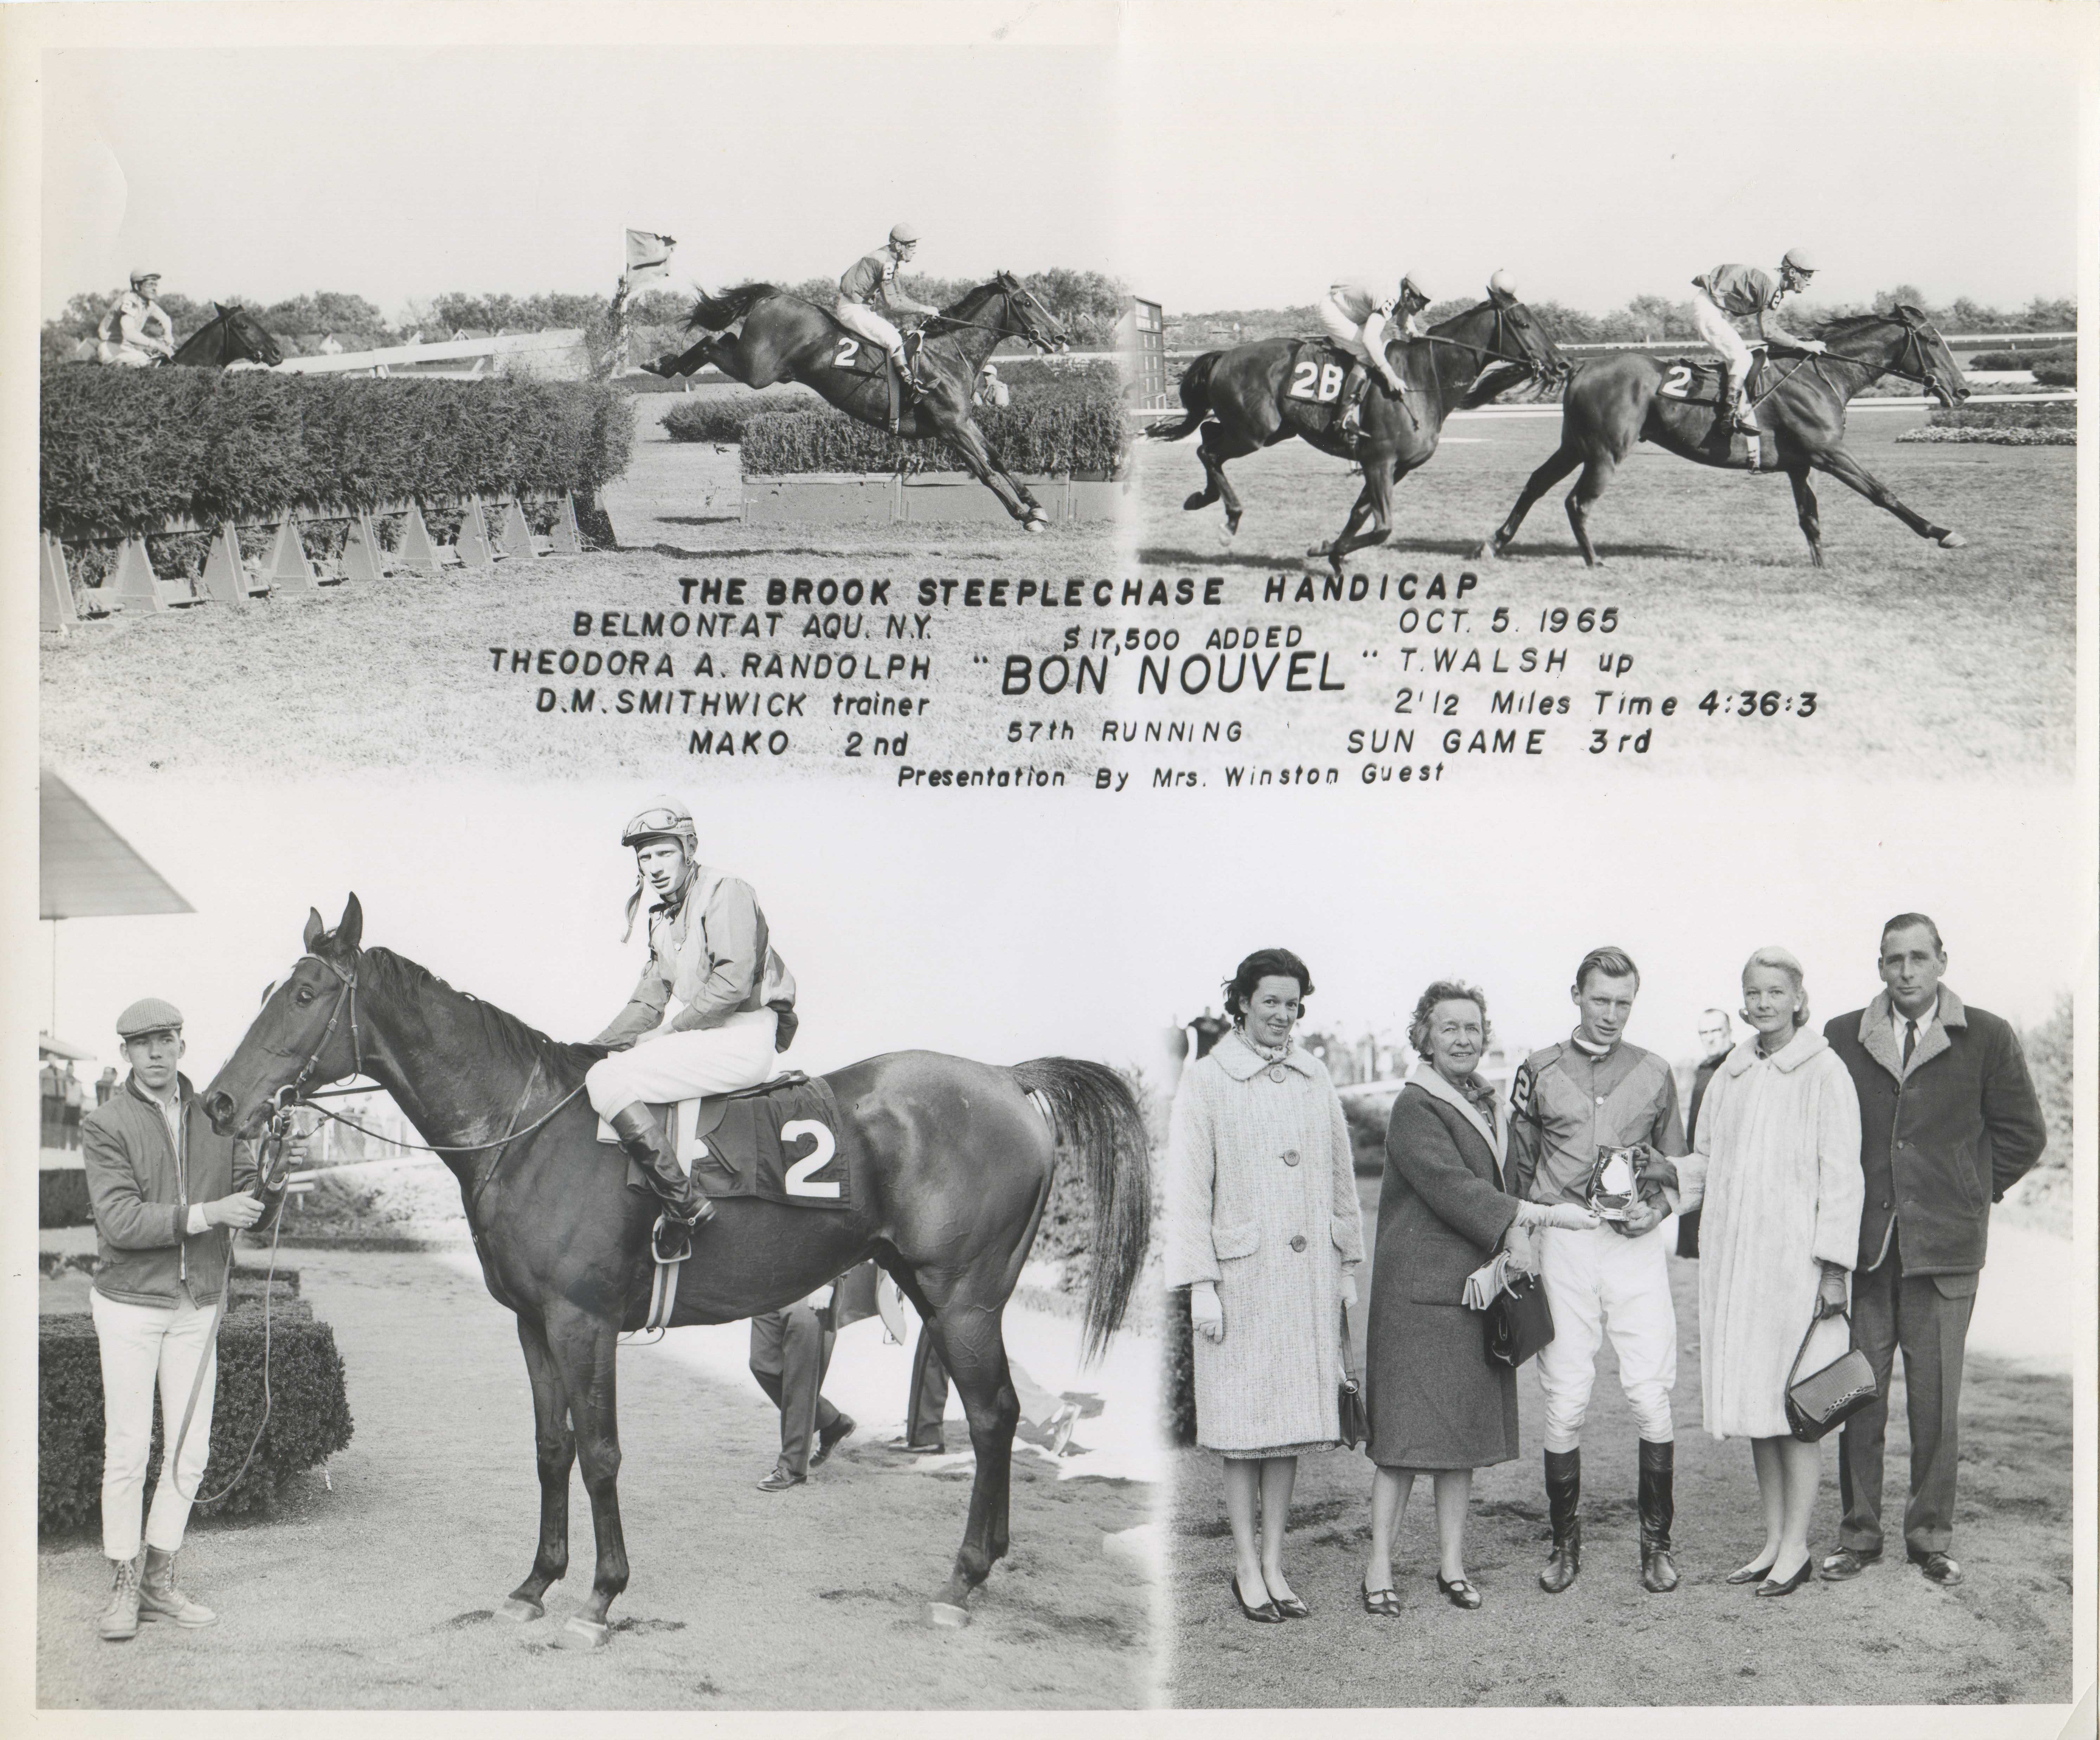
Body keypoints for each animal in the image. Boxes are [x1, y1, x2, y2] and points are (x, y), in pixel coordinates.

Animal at [200, 895, 1151, 1648]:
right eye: (268, 991)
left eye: (306, 994)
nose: (218, 1101)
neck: (529, 1131)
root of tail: (1003, 1078)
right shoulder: (533, 1323)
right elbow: (550, 1449)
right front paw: (535, 1584)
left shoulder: (584, 1322)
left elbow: (600, 1454)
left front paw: (600, 1596)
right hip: (937, 1291)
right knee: (1000, 1415)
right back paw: (982, 1567)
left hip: (961, 1299)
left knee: (990, 1417)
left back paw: (961, 1579)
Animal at [643, 271, 1075, 527]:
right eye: (1027, 302)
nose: (1060, 336)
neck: (949, 355)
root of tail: (775, 295)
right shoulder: (950, 428)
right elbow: (985, 472)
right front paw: (1024, 514)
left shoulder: (962, 423)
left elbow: (997, 459)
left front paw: (1035, 505)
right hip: (758, 371)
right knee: (712, 342)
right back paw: (661, 362)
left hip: (760, 366)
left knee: (722, 339)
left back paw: (664, 363)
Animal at [1142, 288, 1571, 576]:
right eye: (1523, 322)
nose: (1562, 364)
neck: (1422, 379)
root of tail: (1224, 355)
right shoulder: (1379, 460)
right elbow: (1382, 527)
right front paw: (1326, 549)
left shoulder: (1393, 467)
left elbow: (1360, 514)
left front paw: (1333, 551)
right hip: (1255, 431)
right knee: (1209, 450)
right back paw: (1228, 519)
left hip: (1270, 429)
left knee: (1208, 434)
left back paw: (1202, 497)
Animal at [1478, 302, 1965, 567]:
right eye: (1932, 341)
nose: (1961, 390)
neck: (1820, 376)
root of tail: (1582, 365)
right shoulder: (1829, 453)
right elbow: (1883, 494)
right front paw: (1943, 532)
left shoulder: (1801, 464)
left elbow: (1809, 517)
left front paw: (1821, 566)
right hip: (1605, 450)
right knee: (1578, 501)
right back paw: (1594, 559)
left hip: (1575, 445)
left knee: (1537, 483)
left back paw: (1495, 543)